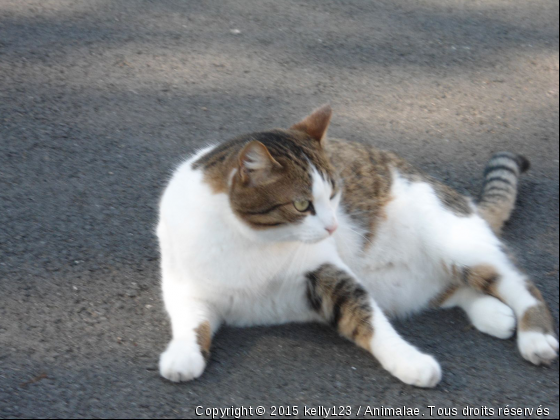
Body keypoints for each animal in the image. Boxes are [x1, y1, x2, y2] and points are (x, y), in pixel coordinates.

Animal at [155, 105, 556, 388]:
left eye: (334, 194)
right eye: (302, 204)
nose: (333, 226)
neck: (250, 240)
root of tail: (463, 199)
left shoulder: (325, 272)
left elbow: (370, 321)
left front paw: (411, 362)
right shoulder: (186, 285)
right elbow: (189, 319)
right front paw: (183, 355)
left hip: (455, 243)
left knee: (518, 283)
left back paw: (535, 335)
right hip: (409, 284)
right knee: (455, 290)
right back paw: (493, 314)